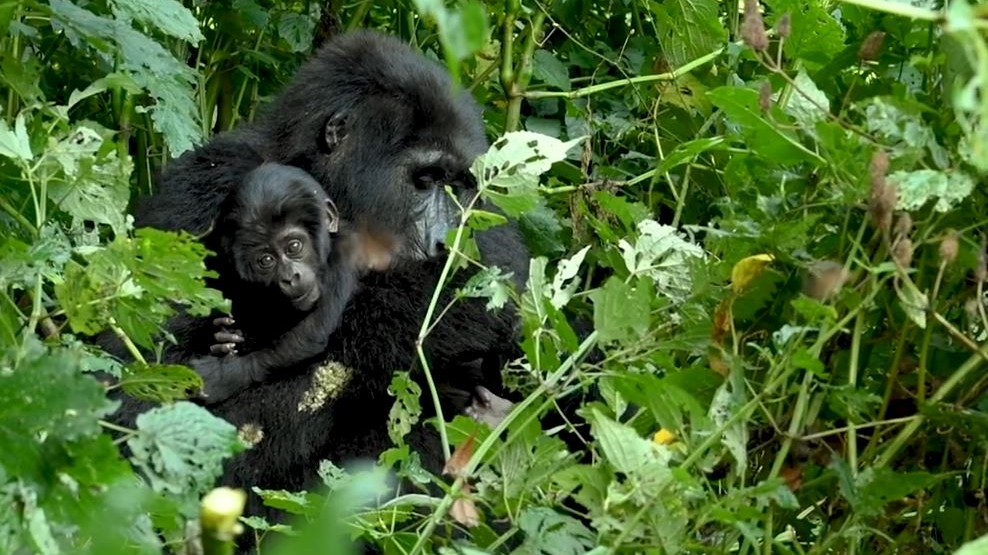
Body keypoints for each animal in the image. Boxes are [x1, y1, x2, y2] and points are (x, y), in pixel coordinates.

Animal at [191, 163, 388, 406]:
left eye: (294, 246)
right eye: (266, 260)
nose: (290, 277)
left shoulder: (346, 254)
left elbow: (313, 331)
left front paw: (224, 375)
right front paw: (222, 337)